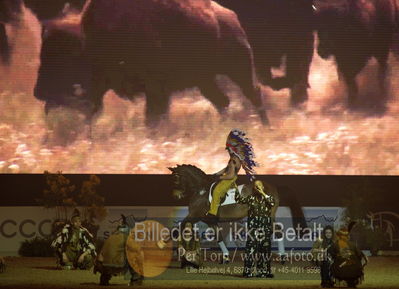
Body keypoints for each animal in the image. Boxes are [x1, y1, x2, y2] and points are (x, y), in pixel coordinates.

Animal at [35, 0, 268, 126]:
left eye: (64, 58)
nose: (39, 92)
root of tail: (229, 15)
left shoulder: (156, 89)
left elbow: (153, 117)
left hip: (239, 68)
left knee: (254, 94)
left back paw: (264, 127)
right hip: (205, 80)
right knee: (223, 101)